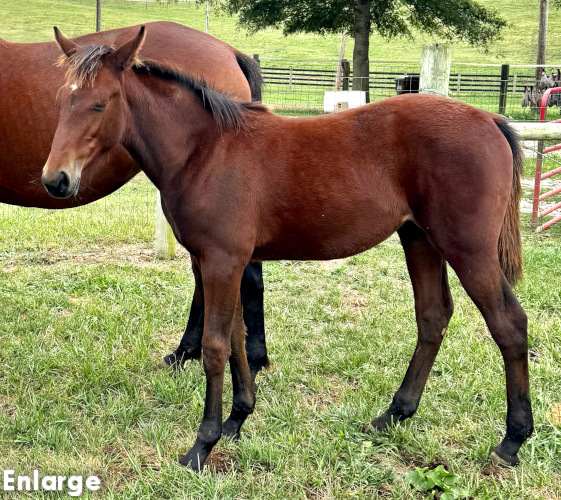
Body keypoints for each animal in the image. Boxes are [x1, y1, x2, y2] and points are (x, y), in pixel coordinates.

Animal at [43, 26, 532, 472]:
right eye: (62, 101)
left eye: (100, 103)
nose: (56, 179)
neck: (205, 150)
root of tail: (491, 120)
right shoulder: (220, 261)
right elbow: (237, 336)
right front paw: (238, 420)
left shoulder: (221, 261)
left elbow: (215, 345)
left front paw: (202, 445)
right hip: (419, 238)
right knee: (432, 316)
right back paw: (393, 414)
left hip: (468, 249)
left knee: (508, 324)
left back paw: (511, 441)